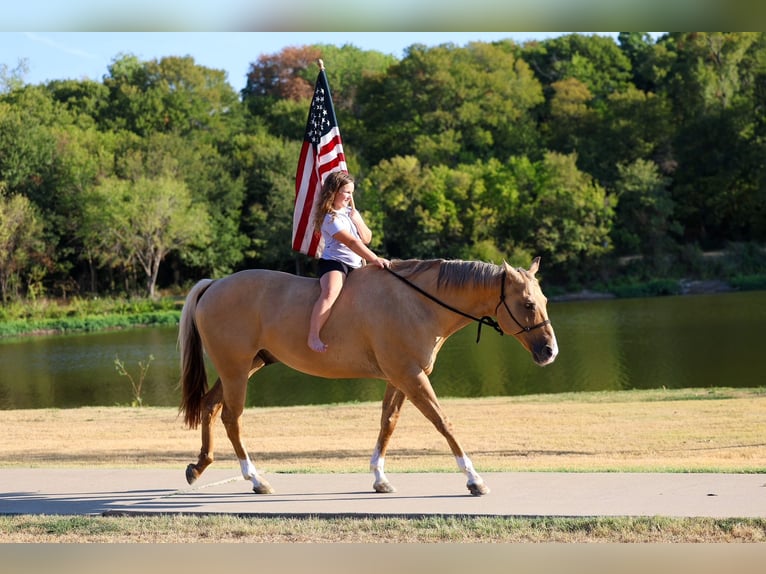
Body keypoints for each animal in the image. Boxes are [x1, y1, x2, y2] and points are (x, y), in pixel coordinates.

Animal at [178, 257, 558, 496]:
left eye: (544, 299)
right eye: (527, 304)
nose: (550, 351)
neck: (417, 303)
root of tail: (214, 284)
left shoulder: (400, 378)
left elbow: (387, 423)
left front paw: (379, 476)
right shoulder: (411, 377)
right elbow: (443, 423)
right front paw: (473, 478)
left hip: (243, 368)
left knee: (210, 407)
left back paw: (200, 465)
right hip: (236, 371)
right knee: (231, 418)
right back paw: (255, 479)